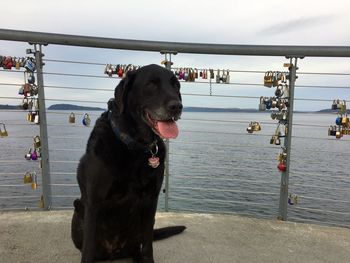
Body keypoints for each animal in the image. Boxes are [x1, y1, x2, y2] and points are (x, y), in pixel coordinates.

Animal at [71, 64, 186, 263]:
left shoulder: (150, 200)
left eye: (176, 85)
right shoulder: (94, 203)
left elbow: (147, 246)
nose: (177, 106)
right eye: (151, 84)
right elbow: (88, 250)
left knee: (137, 247)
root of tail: (113, 252)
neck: (135, 147)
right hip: (78, 211)